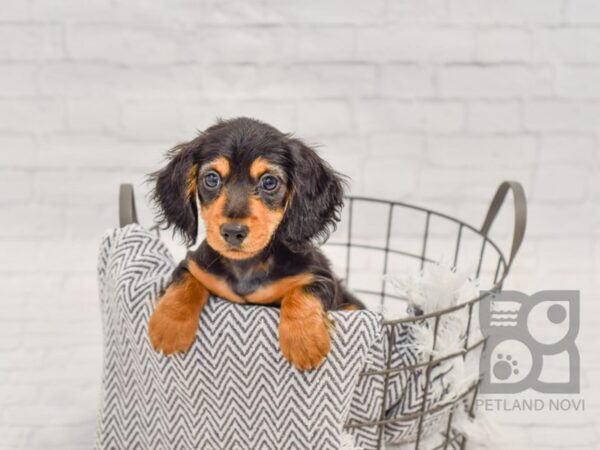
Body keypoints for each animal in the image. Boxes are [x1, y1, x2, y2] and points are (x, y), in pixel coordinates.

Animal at [146, 118, 360, 370]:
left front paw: (304, 340)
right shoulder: (193, 264)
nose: (233, 232)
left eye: (269, 182)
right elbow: (184, 282)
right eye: (212, 178)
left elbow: (303, 291)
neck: (247, 267)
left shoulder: (321, 278)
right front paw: (169, 326)